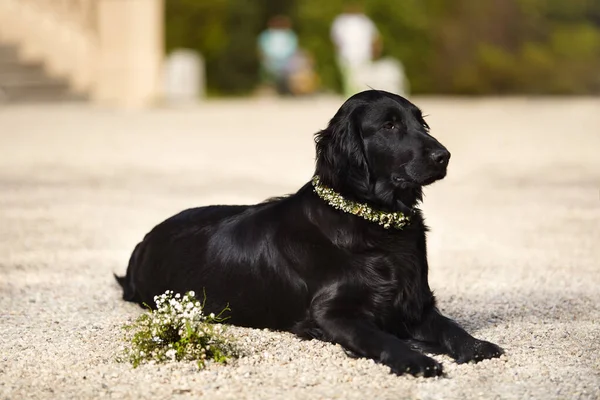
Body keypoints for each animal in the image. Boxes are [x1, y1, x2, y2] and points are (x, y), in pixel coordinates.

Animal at [116, 91, 502, 378]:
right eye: (390, 125)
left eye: (421, 122)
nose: (443, 156)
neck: (372, 221)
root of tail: (143, 241)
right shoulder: (331, 313)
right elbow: (382, 338)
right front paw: (416, 358)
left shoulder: (416, 302)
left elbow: (449, 327)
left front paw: (476, 346)